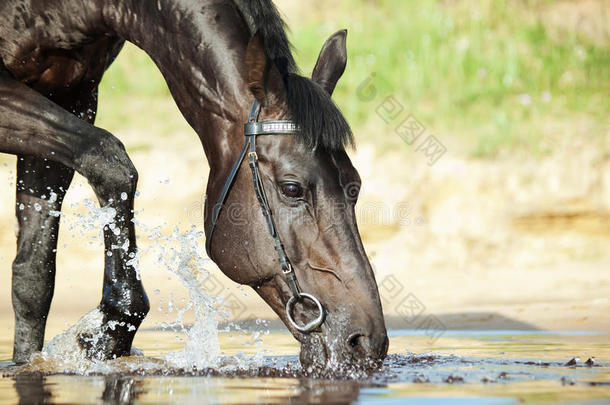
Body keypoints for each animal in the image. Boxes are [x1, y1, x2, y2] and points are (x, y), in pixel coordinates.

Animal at [0, 0, 384, 370]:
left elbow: (32, 278)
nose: (367, 341)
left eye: (355, 185)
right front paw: (112, 330)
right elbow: (110, 161)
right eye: (292, 189)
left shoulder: (72, 98)